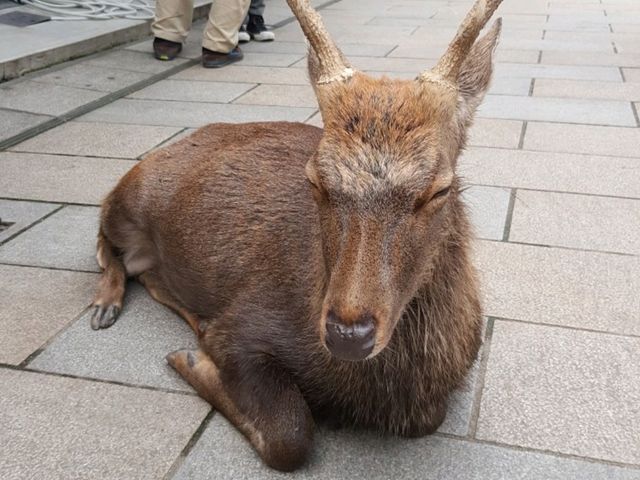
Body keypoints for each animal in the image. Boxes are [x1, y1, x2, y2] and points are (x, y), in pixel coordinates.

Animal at [87, 0, 502, 472]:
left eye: (440, 189)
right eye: (315, 179)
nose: (348, 334)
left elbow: (428, 419)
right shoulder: (243, 325)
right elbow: (290, 435)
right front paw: (190, 357)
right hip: (126, 199)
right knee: (104, 241)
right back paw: (105, 305)